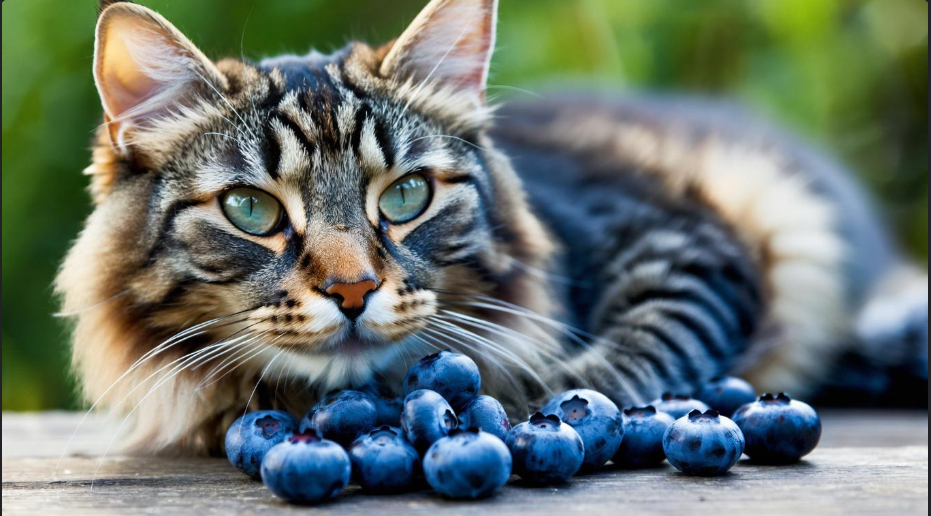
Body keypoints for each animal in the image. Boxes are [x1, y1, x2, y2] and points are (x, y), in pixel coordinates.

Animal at [56, 0, 924, 454]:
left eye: (405, 196)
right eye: (251, 211)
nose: (353, 290)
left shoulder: (687, 251)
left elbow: (620, 362)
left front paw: (528, 413)